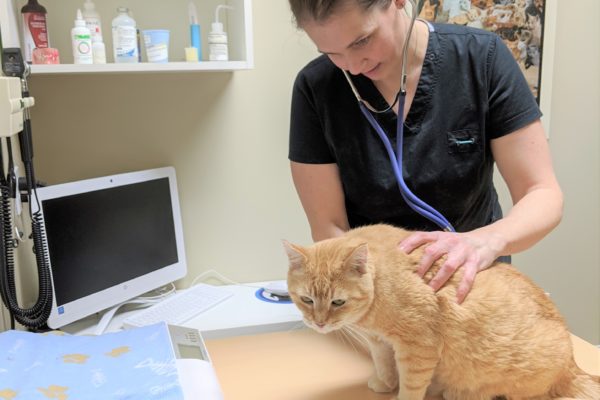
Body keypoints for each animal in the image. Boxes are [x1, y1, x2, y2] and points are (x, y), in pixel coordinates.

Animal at [284, 225, 600, 400]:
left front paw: (401, 395)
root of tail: (572, 365)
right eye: (306, 299)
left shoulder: (418, 348)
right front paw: (385, 383)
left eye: (337, 302)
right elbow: (384, 364)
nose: (319, 323)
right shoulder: (379, 341)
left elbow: (411, 385)